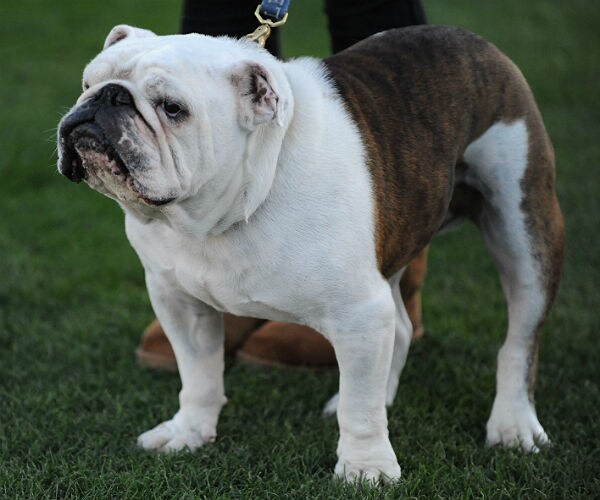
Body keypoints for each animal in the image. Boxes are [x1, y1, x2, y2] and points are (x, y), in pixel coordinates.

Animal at [57, 24, 564, 483]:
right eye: (87, 82)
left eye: (172, 108)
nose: (105, 98)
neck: (228, 209)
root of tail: (472, 40)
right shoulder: (179, 300)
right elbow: (198, 375)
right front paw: (189, 433)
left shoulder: (359, 313)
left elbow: (360, 410)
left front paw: (366, 467)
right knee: (401, 328)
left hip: (524, 228)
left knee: (520, 340)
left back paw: (513, 424)